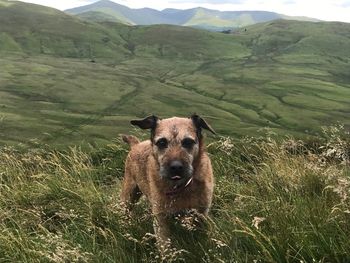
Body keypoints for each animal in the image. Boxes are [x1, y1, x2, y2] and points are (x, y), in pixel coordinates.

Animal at [120, 114, 215, 249]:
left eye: (188, 142)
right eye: (161, 142)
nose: (176, 167)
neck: (180, 187)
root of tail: (135, 145)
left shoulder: (201, 214)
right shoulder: (161, 219)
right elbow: (165, 245)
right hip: (128, 196)